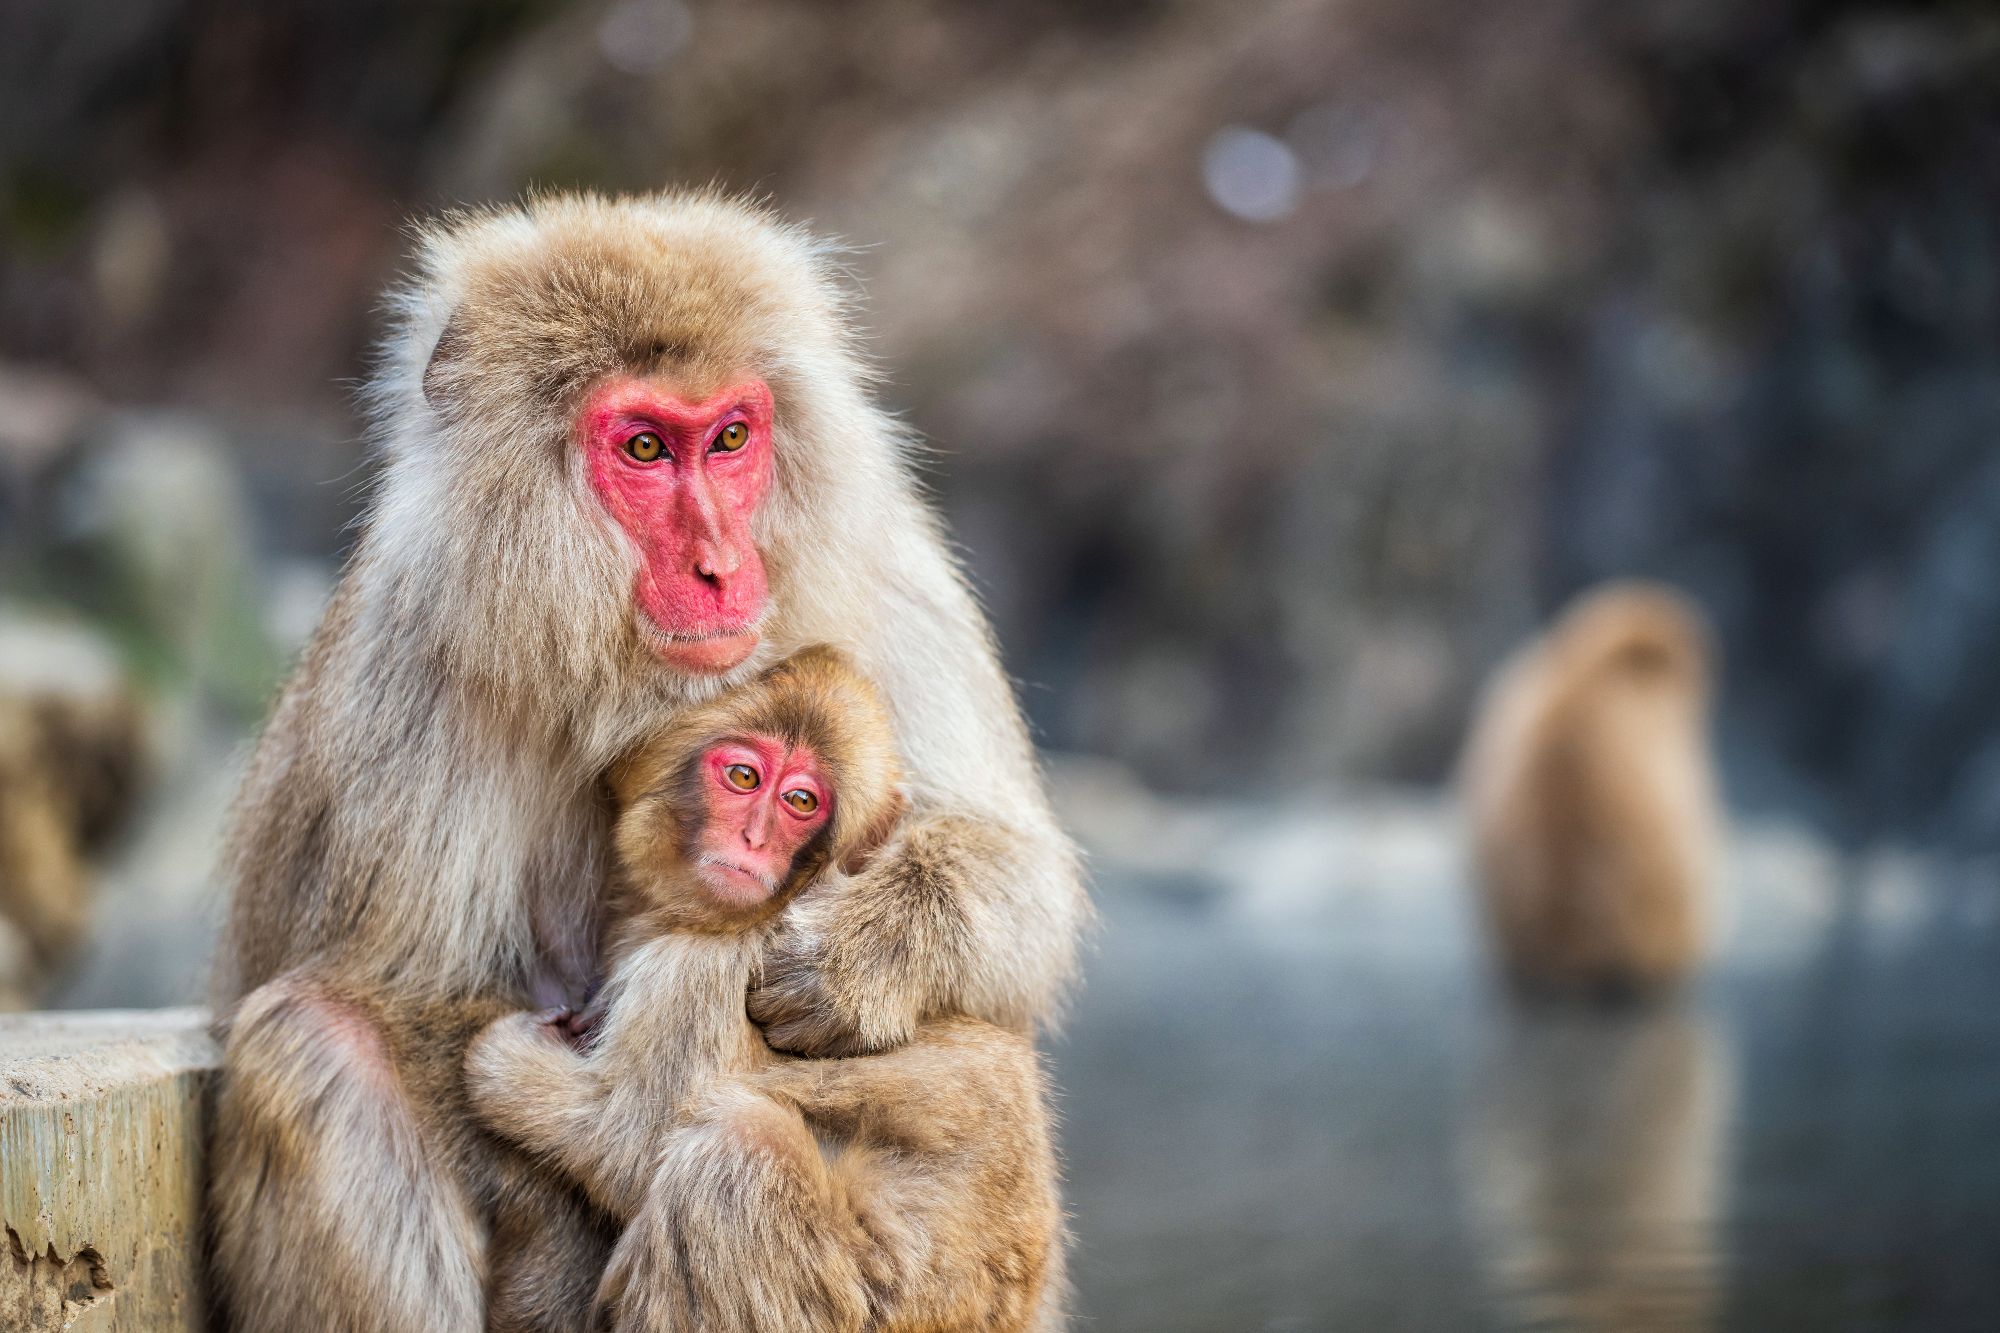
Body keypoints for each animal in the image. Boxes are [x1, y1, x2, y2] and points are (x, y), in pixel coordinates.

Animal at [464, 640, 1064, 1320]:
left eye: (801, 802)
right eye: (745, 777)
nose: (751, 840)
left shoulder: (701, 971)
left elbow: (624, 1146)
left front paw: (503, 1059)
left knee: (738, 1152)